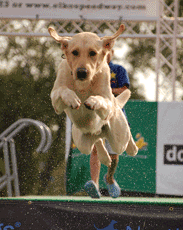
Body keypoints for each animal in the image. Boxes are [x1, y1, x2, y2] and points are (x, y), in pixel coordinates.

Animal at [48, 24, 138, 166]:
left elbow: (101, 98)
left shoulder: (107, 102)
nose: (81, 72)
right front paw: (72, 98)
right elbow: (64, 90)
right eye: (75, 52)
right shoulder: (56, 100)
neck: (83, 84)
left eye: (93, 53)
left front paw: (93, 101)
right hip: (81, 143)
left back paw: (132, 148)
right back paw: (105, 157)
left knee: (127, 141)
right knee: (98, 142)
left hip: (118, 138)